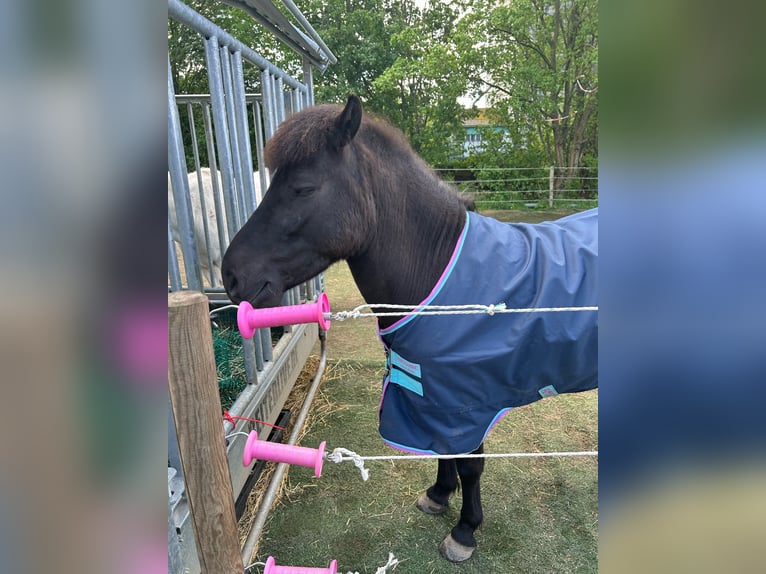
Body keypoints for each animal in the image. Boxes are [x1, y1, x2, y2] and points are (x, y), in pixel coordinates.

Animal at [224, 95, 600, 564]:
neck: (438, 271)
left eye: (303, 188)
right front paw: (438, 495)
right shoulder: (432, 398)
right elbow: (442, 449)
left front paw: (464, 531)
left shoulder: (466, 401)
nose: (231, 274)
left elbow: (469, 461)